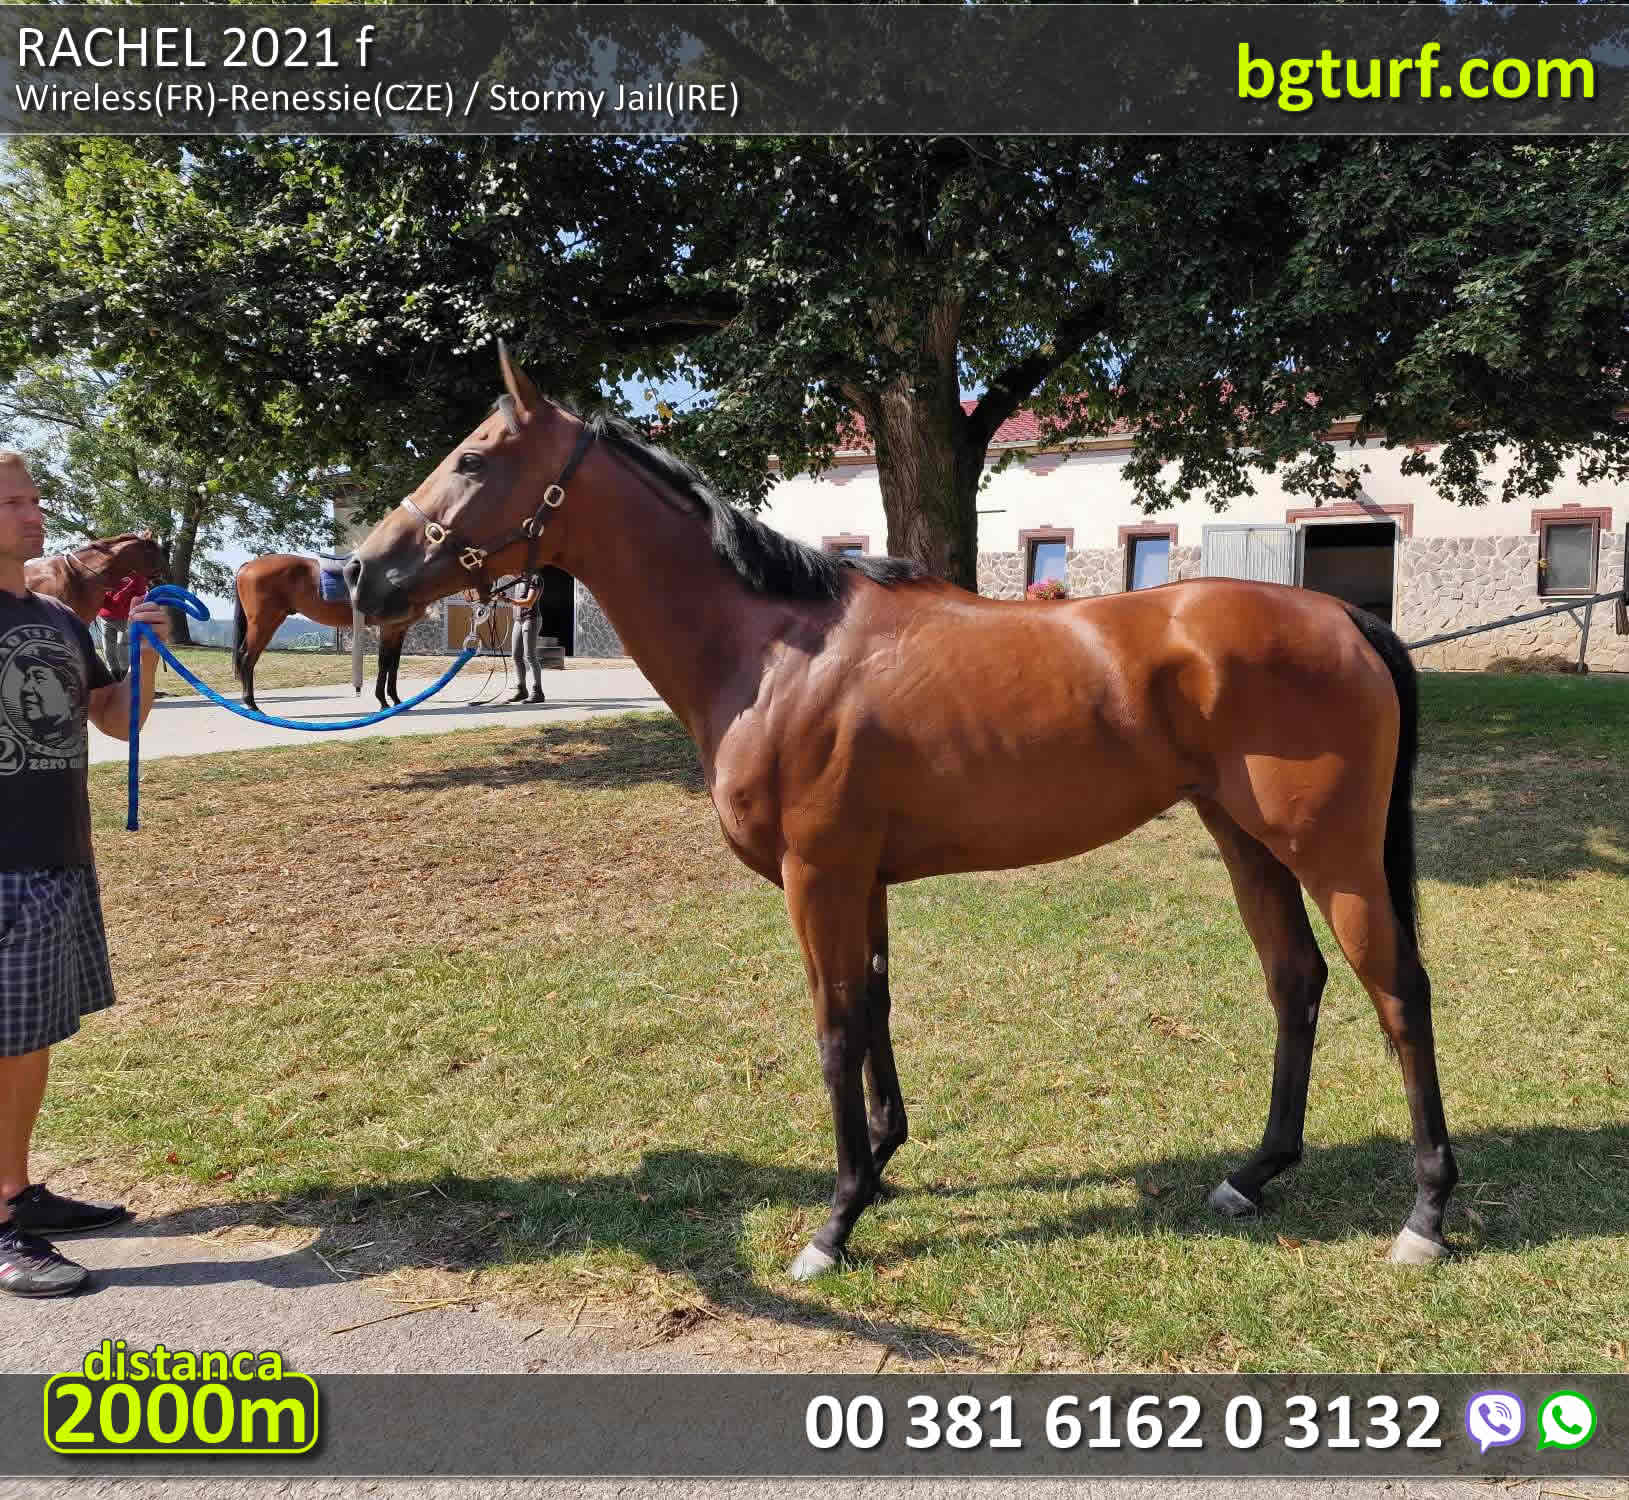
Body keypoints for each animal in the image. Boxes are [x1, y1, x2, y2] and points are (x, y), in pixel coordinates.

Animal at [232, 553, 432, 713]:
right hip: (264, 624)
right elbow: (384, 663)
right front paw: (383, 702)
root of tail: (249, 565)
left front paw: (396, 700)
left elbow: (393, 665)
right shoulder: (388, 628)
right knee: (247, 658)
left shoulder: (399, 629)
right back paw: (252, 704)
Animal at [345, 346, 1458, 1282]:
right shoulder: (862, 879)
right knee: (1296, 982)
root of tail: (1342, 617)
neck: (776, 652)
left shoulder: (818, 876)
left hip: (1331, 853)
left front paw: (835, 1222)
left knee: (1399, 992)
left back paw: (1425, 1217)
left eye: (474, 458)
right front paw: (879, 1169)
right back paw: (1251, 1174)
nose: (362, 575)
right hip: (1246, 842)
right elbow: (875, 1009)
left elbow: (836, 1027)